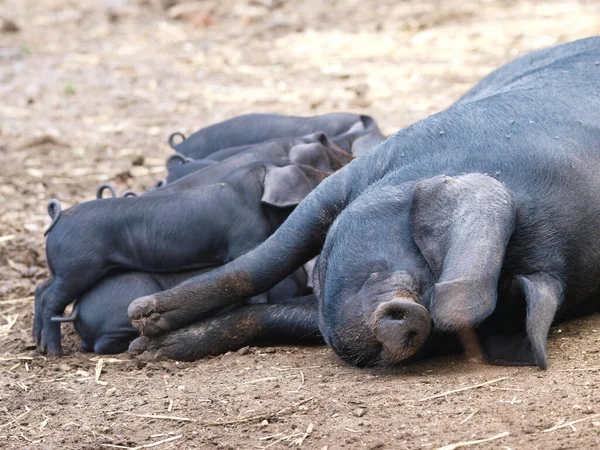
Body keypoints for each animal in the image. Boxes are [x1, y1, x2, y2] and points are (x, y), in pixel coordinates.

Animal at [129, 37, 600, 370]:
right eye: (426, 260)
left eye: (448, 333)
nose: (415, 316)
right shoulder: (348, 181)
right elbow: (263, 261)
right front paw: (144, 323)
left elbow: (277, 315)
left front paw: (151, 348)